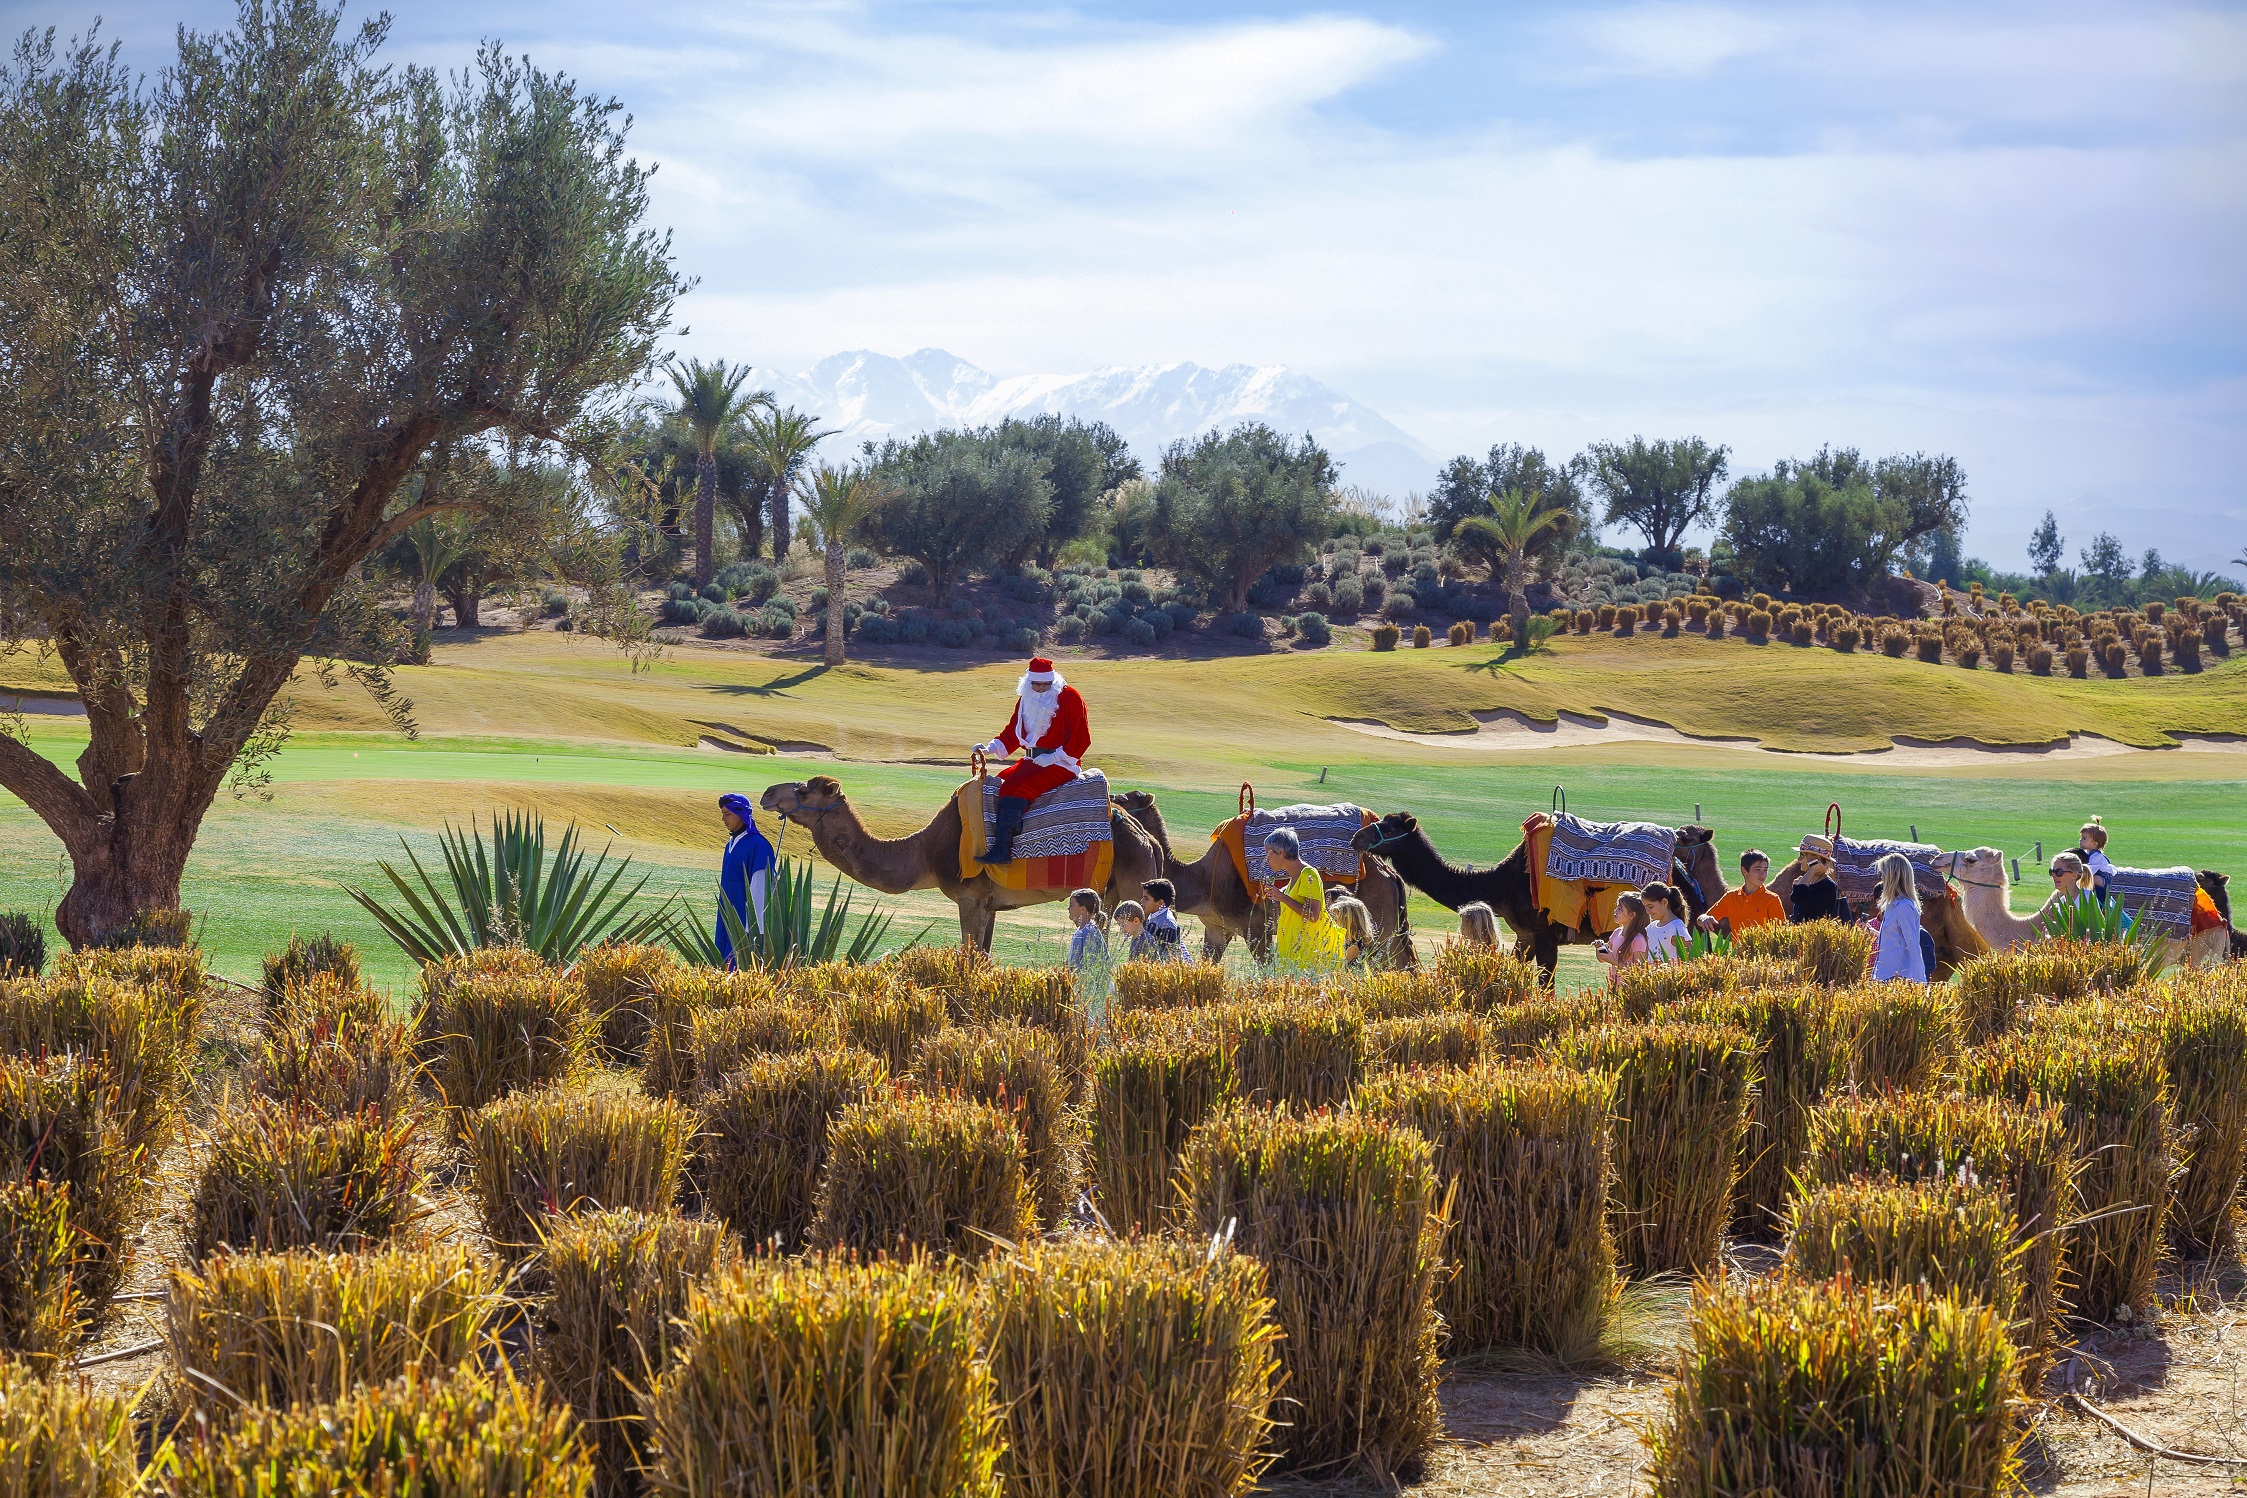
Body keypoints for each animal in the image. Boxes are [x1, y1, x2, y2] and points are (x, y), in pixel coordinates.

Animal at [768, 772, 1168, 947]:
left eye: (804, 789)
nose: (769, 792)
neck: (927, 852)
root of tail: (1149, 840)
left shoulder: (970, 896)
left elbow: (969, 953)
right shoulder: (990, 903)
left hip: (1134, 882)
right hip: (1110, 890)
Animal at [1114, 786, 1411, 974]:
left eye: (1128, 799)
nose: (1114, 796)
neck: (1204, 880)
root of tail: (1391, 876)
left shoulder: (1255, 926)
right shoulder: (1216, 929)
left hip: (1375, 929)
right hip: (1387, 930)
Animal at [1348, 808, 1716, 983]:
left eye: (1390, 827)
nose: (1357, 838)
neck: (1501, 884)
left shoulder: (1544, 934)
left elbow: (1545, 986)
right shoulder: (1524, 936)